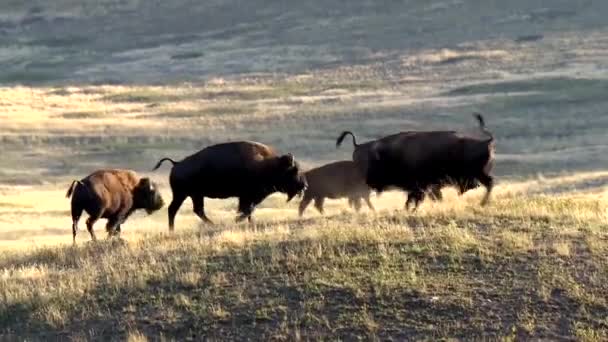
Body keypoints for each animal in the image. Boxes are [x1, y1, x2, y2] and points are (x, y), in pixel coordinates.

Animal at [150, 140, 306, 231]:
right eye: (293, 170)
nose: (304, 186)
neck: (269, 165)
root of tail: (176, 164)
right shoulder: (248, 196)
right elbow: (247, 209)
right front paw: (237, 220)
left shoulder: (248, 197)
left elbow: (249, 210)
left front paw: (248, 222)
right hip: (183, 194)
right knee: (174, 209)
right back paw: (174, 229)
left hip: (194, 195)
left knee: (196, 210)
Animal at [356, 113, 494, 207]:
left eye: (376, 164)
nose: (368, 181)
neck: (395, 155)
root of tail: (485, 142)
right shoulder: (425, 187)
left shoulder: (420, 186)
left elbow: (415, 199)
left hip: (479, 174)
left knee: (489, 183)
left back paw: (483, 203)